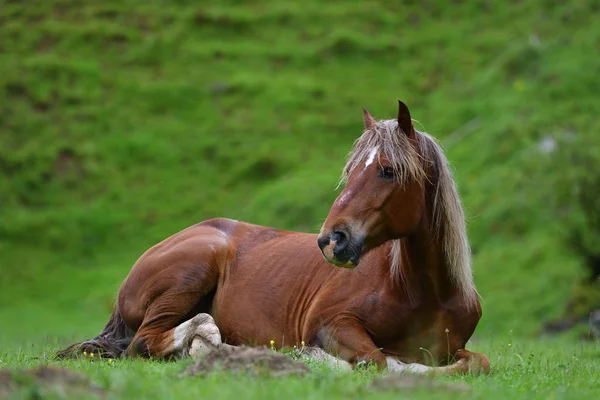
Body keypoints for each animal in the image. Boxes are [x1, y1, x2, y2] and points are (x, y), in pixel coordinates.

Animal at [56, 101, 490, 376]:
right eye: (351, 170)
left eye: (387, 170)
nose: (332, 239)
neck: (422, 292)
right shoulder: (332, 323)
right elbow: (378, 361)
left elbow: (475, 363)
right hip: (192, 269)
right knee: (147, 342)